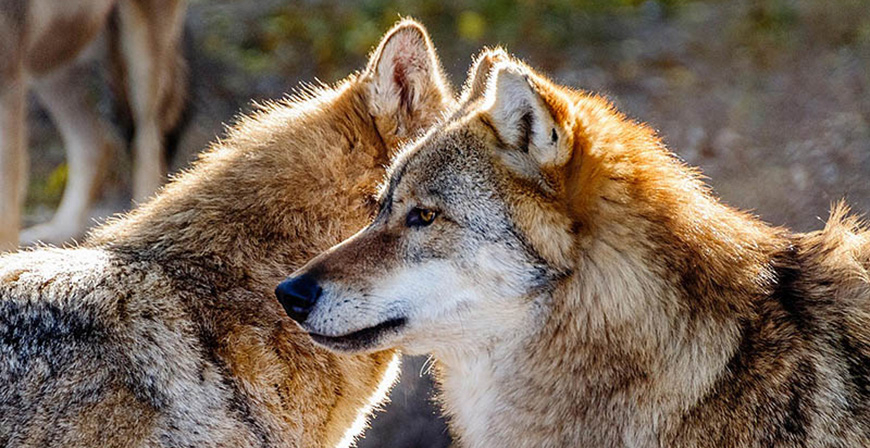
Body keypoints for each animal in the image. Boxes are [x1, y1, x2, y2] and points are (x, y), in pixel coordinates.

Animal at [0, 0, 187, 251]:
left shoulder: (8, 78)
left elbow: (6, 209)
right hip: (50, 63)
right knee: (97, 142)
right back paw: (59, 234)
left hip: (140, 55)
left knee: (148, 146)